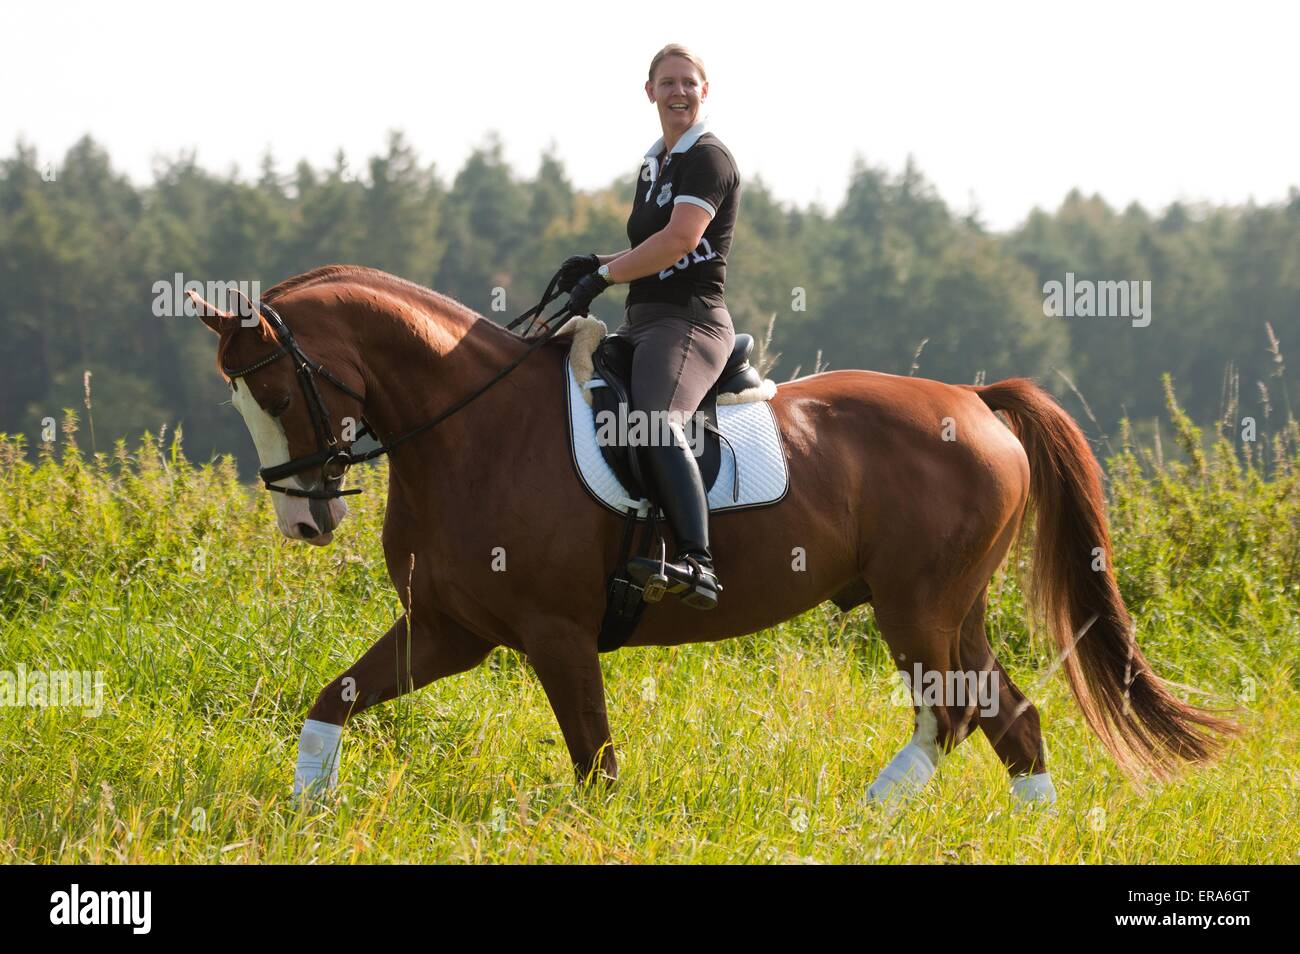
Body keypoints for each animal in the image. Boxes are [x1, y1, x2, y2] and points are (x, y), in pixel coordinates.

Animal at [197, 267, 1232, 805]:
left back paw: (864, 820)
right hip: (953, 609)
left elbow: (598, 768)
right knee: (1007, 718)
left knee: (954, 717)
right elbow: (330, 704)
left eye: (277, 389)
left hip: (918, 609)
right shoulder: (451, 630)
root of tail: (975, 402)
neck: (472, 430)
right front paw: (308, 811)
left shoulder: (557, 637)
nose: (304, 517)